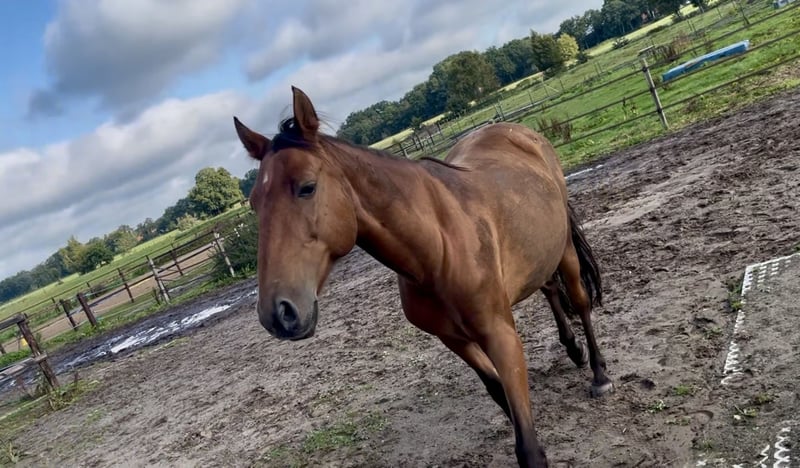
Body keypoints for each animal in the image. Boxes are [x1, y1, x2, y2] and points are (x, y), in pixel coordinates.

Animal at [233, 86, 612, 468]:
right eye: (255, 203)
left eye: (307, 187)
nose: (277, 313)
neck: (437, 249)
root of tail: (520, 132)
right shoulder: (454, 340)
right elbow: (498, 391)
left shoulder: (500, 335)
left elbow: (528, 446)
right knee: (549, 288)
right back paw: (573, 349)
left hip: (564, 249)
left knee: (580, 301)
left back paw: (599, 374)